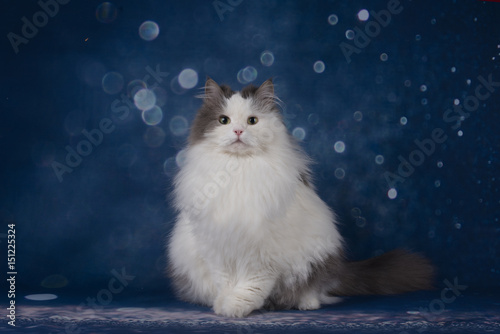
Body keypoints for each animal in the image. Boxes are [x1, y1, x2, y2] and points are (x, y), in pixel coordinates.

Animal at [166, 77, 432, 318]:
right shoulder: (216, 247)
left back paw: (305, 304)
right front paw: (223, 304)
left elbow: (250, 286)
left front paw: (236, 308)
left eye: (252, 121)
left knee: (314, 290)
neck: (238, 170)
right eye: (224, 120)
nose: (238, 131)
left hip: (319, 255)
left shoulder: (262, 254)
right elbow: (226, 282)